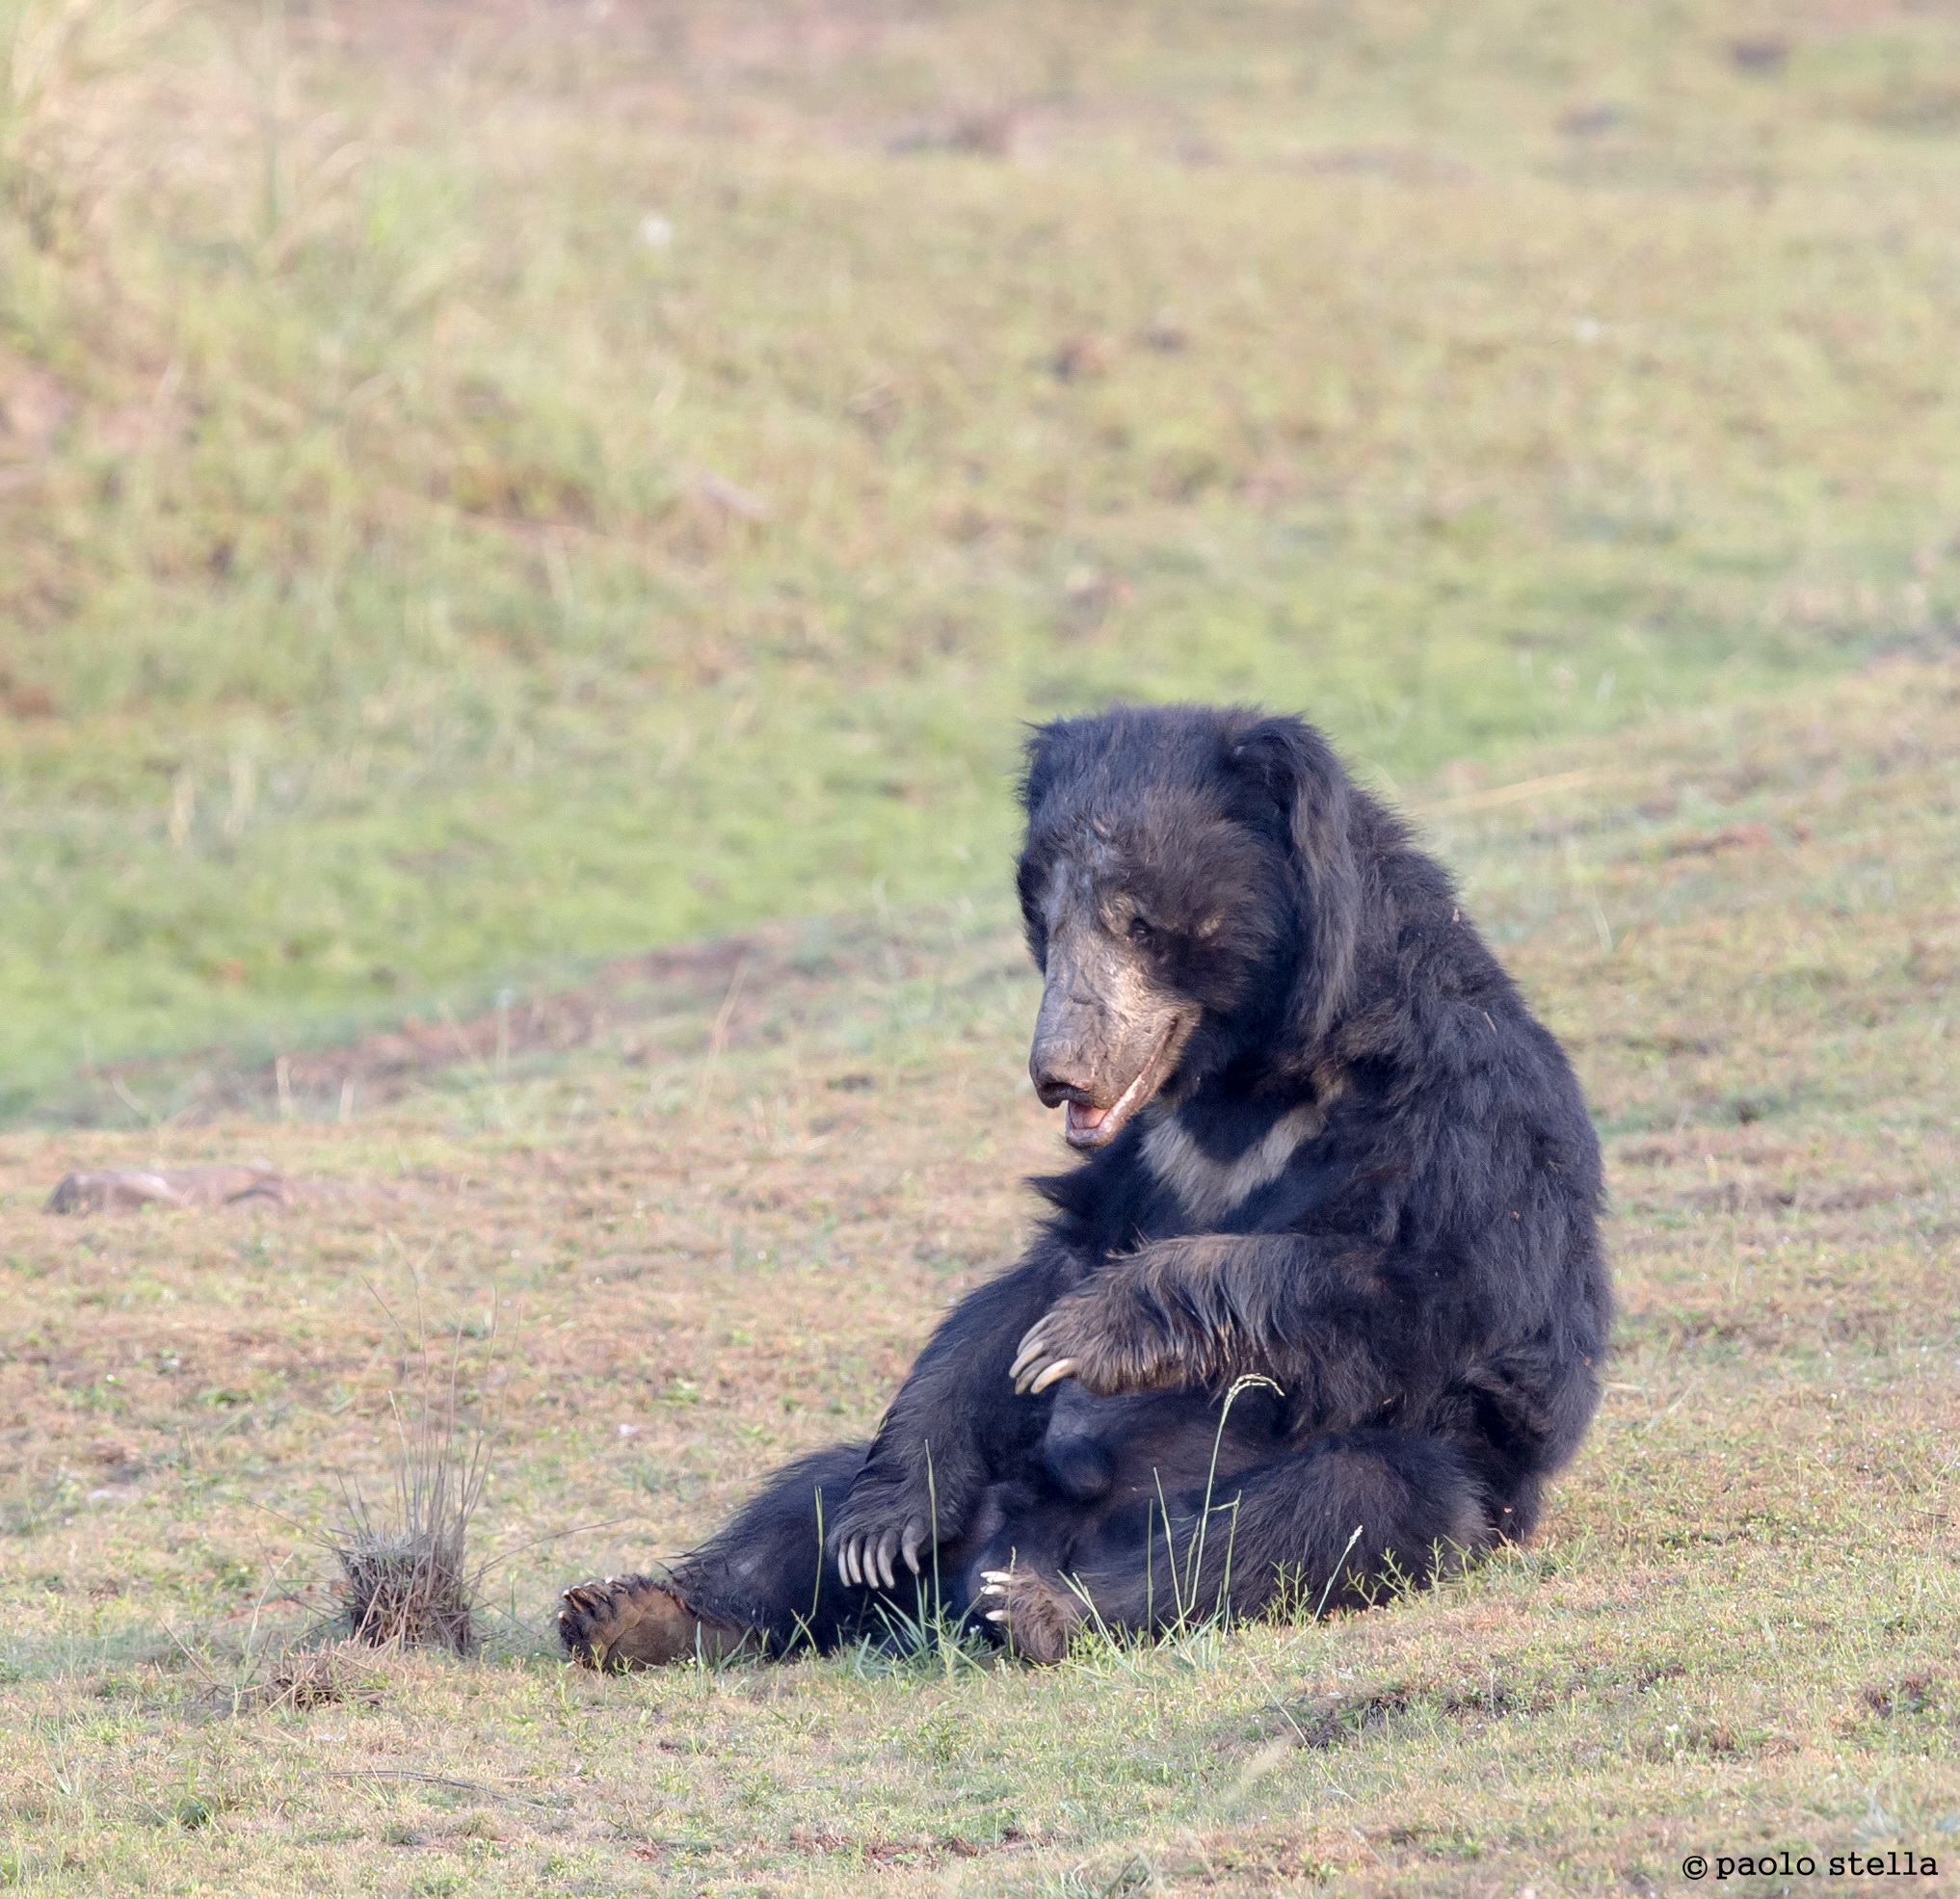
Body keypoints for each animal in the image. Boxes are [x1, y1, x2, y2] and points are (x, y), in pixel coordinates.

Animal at [559, 703, 1611, 1667]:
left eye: (1138, 921)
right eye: (1045, 919)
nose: (1059, 1073)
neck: (1246, 1081)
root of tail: (983, 1572)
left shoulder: (1473, 1115)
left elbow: (1443, 1293)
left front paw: (1090, 1332)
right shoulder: (1138, 1153)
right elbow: (1029, 1284)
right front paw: (887, 1518)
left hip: (1377, 1487)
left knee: (1338, 1507)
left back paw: (1044, 1608)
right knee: (807, 1495)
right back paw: (639, 1613)